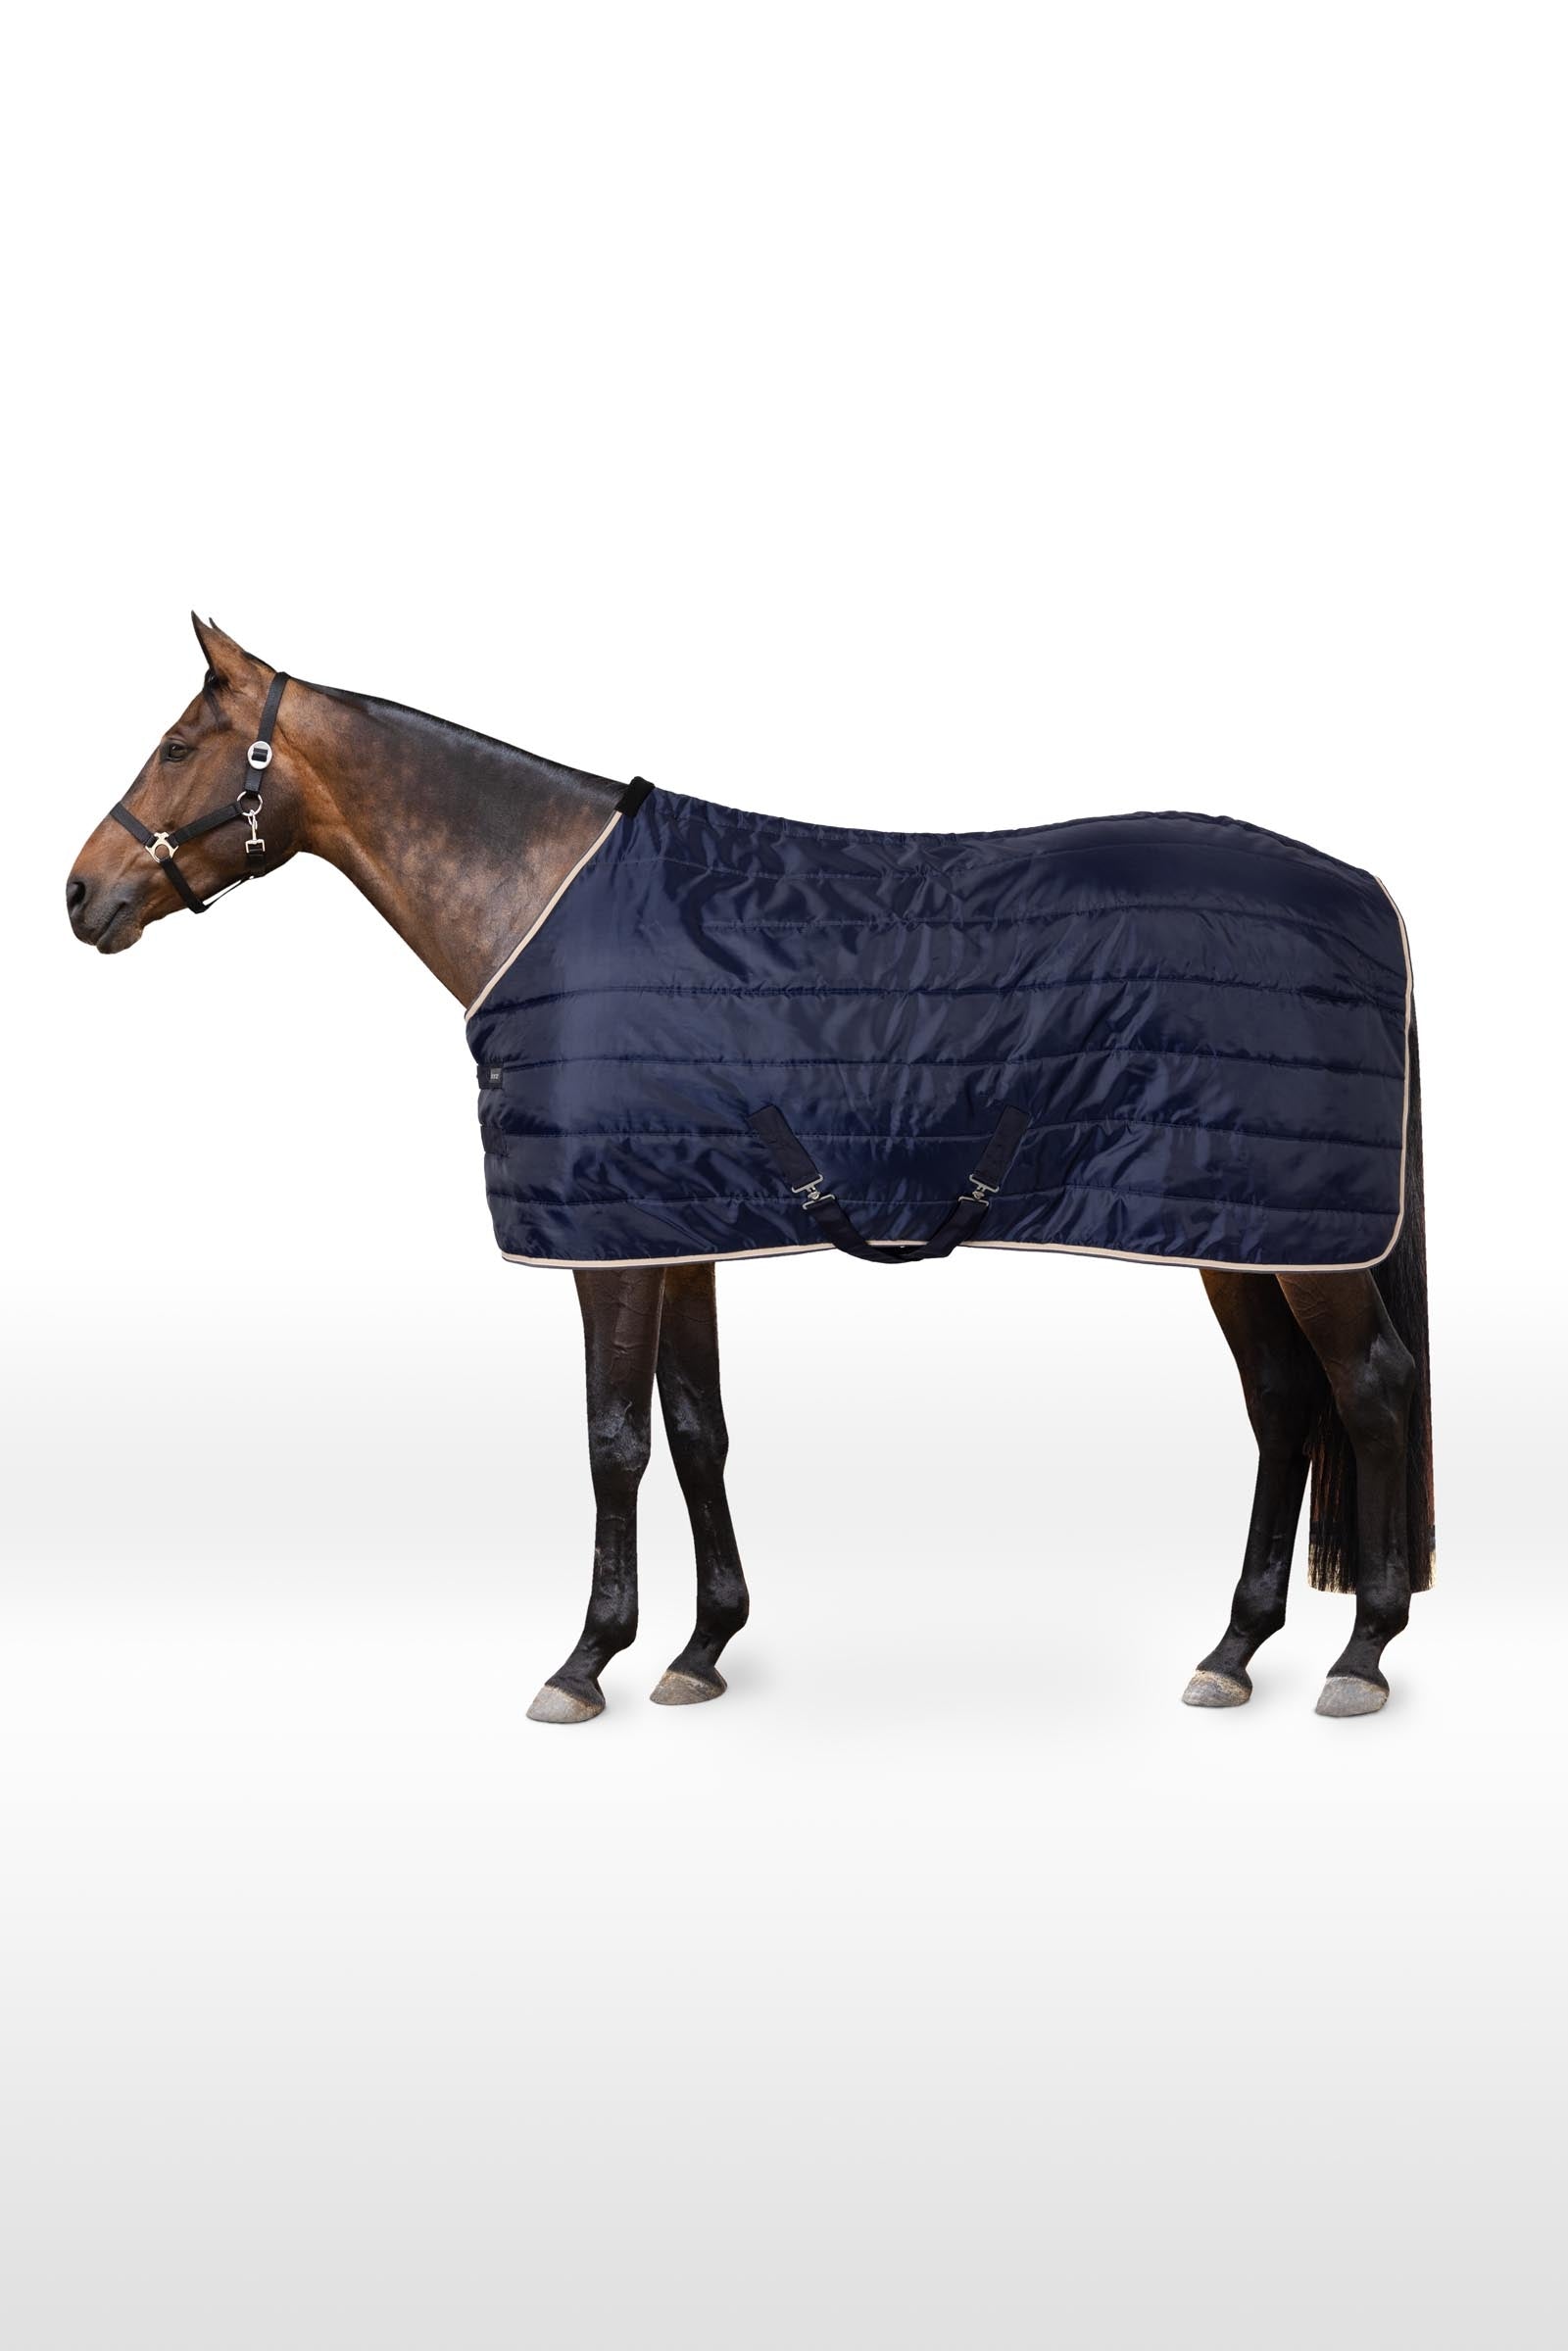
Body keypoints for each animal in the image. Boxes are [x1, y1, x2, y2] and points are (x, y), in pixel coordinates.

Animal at [65, 617, 1434, 1723]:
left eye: (179, 746)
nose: (81, 894)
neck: (548, 900)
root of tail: (1368, 892)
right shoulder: (674, 1231)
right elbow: (696, 1428)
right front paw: (701, 1646)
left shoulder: (608, 1245)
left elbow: (613, 1438)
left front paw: (586, 1661)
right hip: (1235, 1225)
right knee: (1283, 1403)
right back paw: (1234, 1648)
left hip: (1294, 1240)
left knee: (1367, 1387)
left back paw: (1361, 1652)